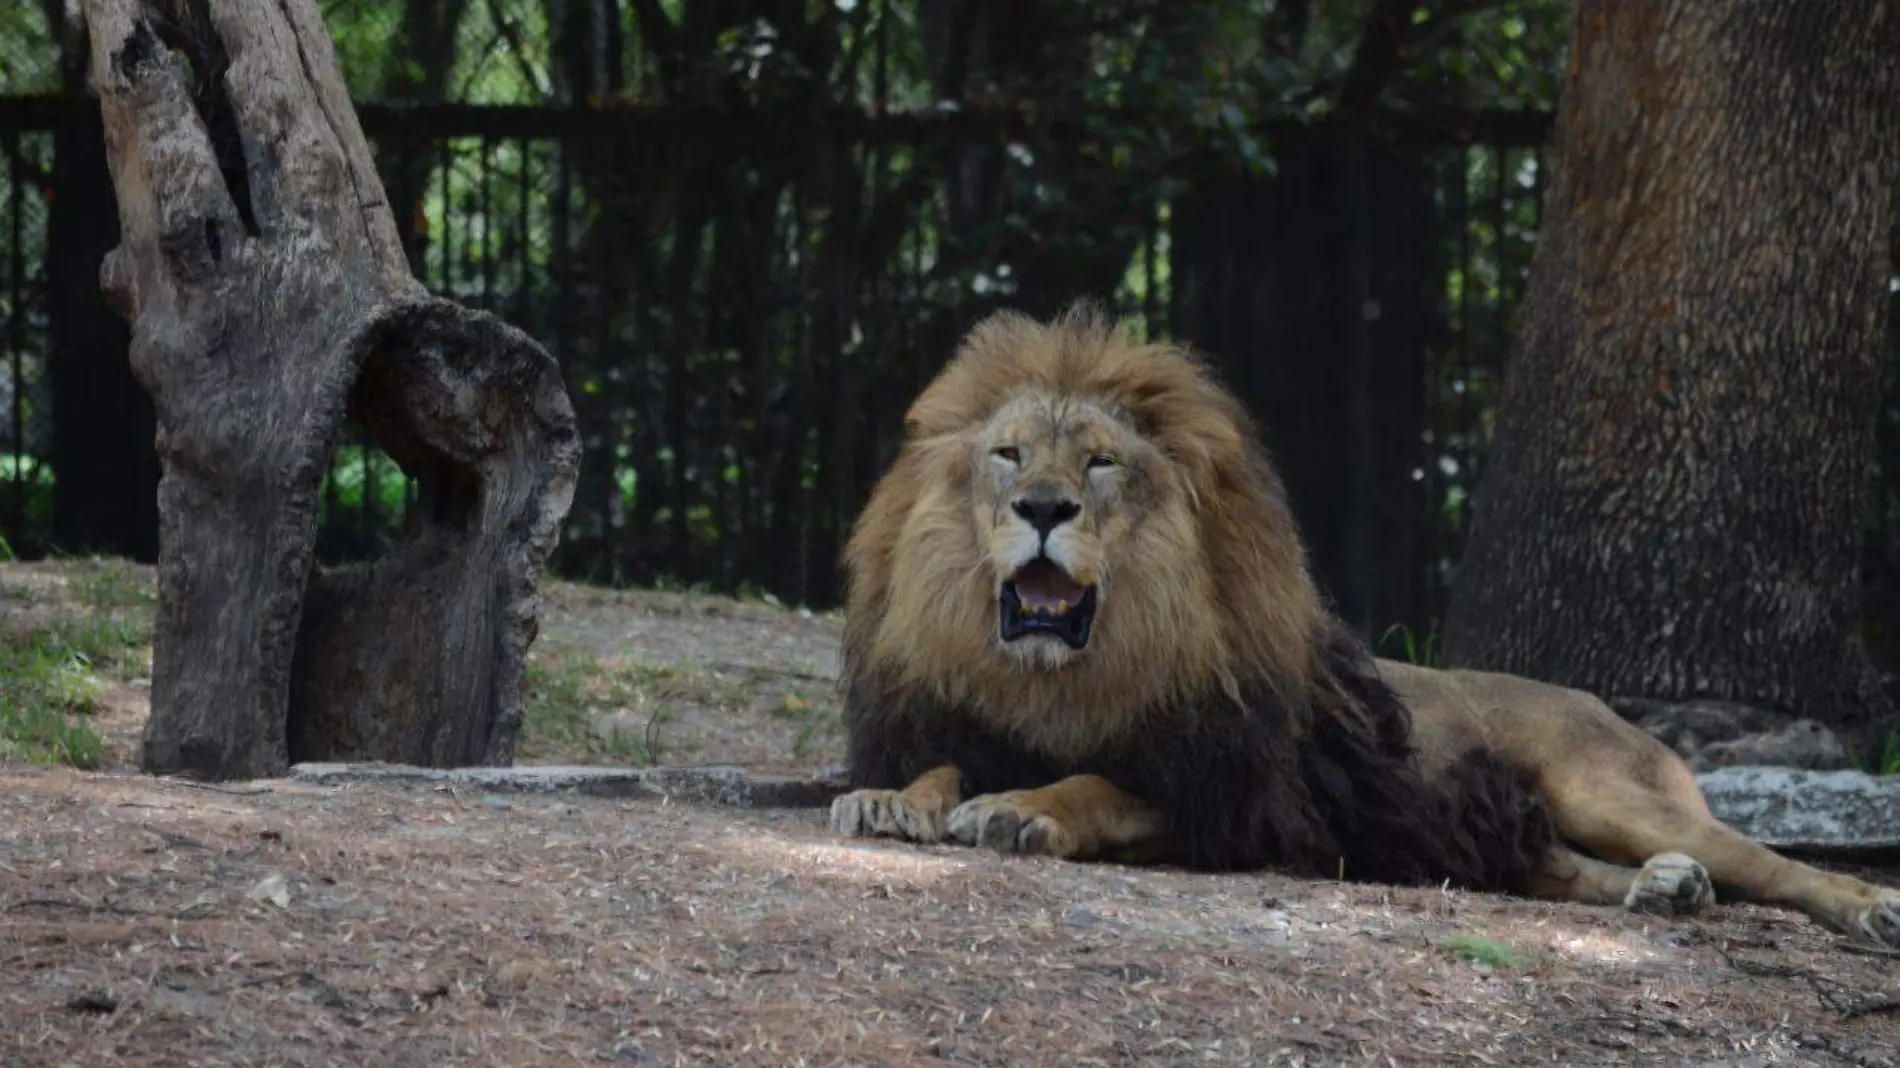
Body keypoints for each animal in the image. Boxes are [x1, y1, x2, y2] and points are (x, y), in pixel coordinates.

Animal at [828, 296, 1900, 938]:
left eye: (1099, 463)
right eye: (1008, 453)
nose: (1043, 508)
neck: (1062, 677)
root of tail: (1609, 708)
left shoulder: (1238, 799)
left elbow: (1095, 784)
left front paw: (1022, 809)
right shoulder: (972, 724)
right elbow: (938, 767)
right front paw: (890, 799)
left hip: (1609, 789)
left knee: (1775, 864)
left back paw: (1866, 906)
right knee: (1572, 869)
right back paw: (1663, 888)